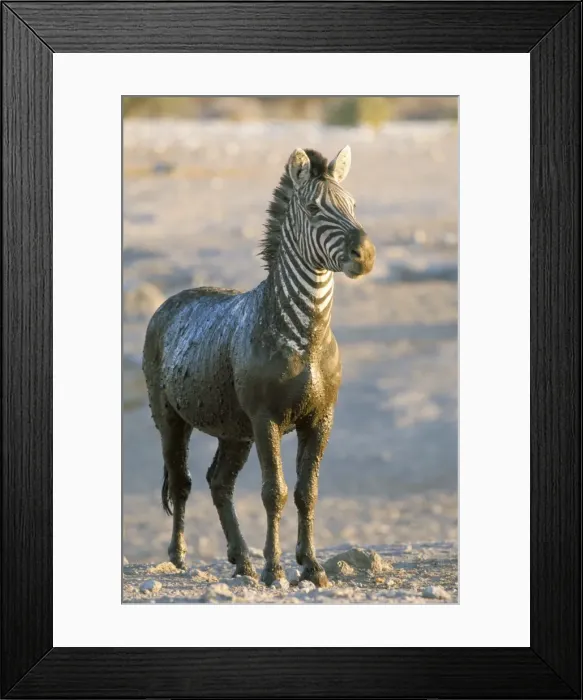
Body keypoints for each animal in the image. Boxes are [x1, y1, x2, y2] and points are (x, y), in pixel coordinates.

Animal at [142, 146, 375, 587]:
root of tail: (173, 300)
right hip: (169, 418)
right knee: (181, 482)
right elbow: (275, 492)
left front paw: (312, 566)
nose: (366, 256)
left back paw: (241, 562)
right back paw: (179, 558)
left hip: (234, 430)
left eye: (354, 205)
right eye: (314, 208)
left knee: (219, 483)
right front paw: (274, 569)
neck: (308, 337)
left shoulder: (321, 417)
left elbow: (306, 491)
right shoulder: (266, 417)